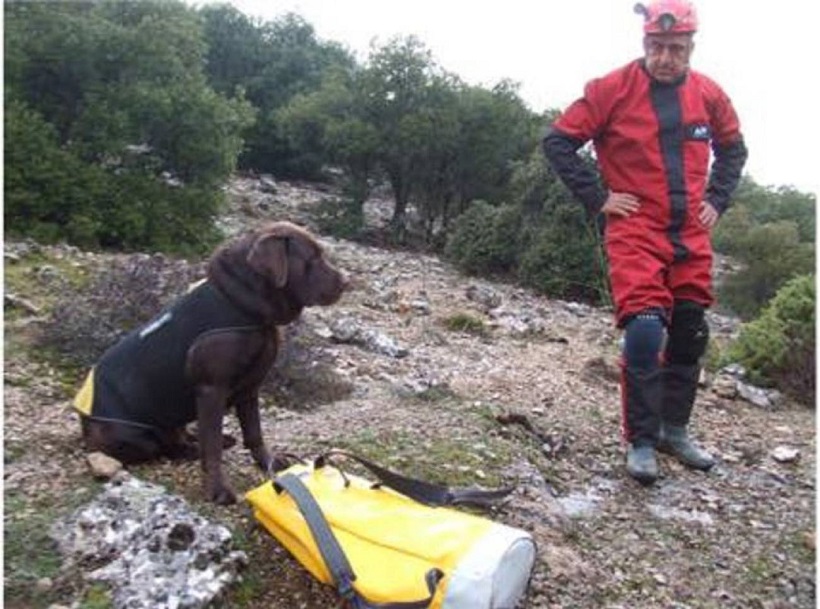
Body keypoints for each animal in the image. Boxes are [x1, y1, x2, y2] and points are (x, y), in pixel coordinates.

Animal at [73, 222, 350, 504]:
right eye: (312, 258)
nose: (346, 282)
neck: (242, 306)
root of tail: (84, 421)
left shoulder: (250, 387)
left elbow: (254, 433)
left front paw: (268, 462)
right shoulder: (211, 390)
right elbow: (212, 447)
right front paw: (218, 489)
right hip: (133, 435)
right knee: (169, 446)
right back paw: (192, 449)